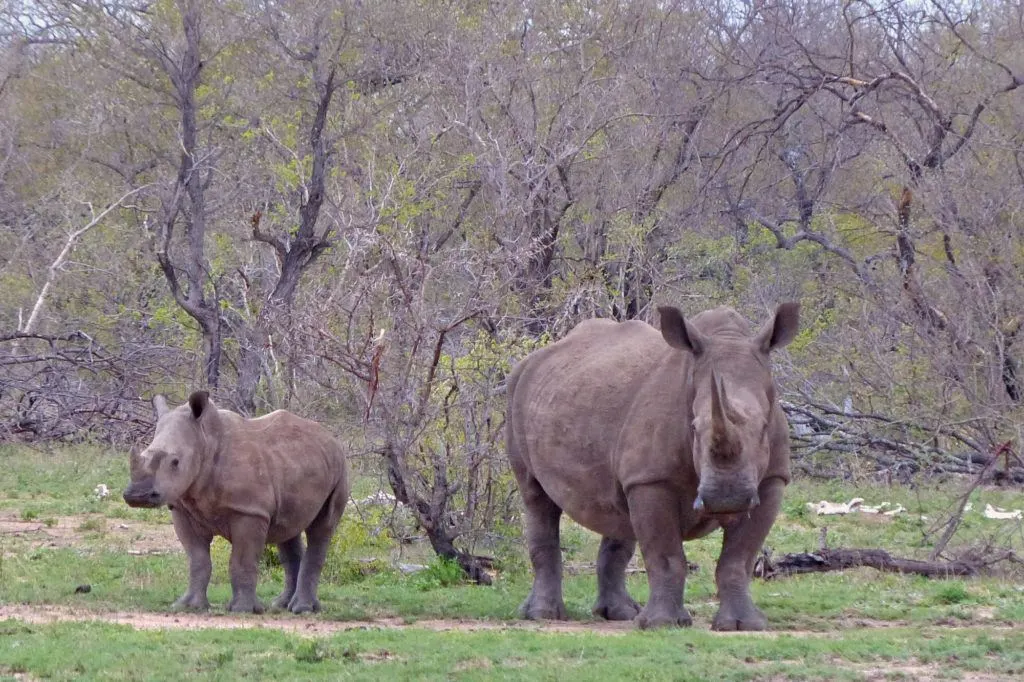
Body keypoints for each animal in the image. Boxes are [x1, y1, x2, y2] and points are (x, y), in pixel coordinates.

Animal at [123, 391, 349, 614]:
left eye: (175, 462)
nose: (137, 496)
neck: (204, 440)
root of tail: (332, 438)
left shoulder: (249, 511)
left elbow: (242, 561)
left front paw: (242, 610)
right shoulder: (181, 508)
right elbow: (198, 559)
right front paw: (188, 606)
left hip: (340, 467)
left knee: (322, 527)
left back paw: (303, 609)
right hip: (296, 462)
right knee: (287, 528)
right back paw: (282, 605)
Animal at [506, 303, 799, 630]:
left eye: (764, 427)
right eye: (694, 428)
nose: (728, 498)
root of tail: (534, 359)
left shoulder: (771, 480)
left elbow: (739, 559)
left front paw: (744, 625)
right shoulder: (651, 480)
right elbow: (666, 556)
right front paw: (662, 624)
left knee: (617, 511)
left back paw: (621, 614)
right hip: (515, 392)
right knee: (536, 496)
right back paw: (542, 615)